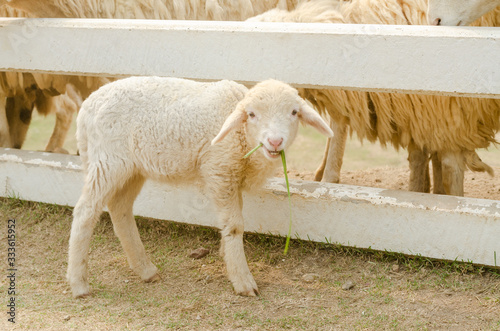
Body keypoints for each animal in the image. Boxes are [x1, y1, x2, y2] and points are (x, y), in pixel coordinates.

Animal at [66, 76, 332, 300]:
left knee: (120, 209)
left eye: (294, 112)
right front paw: (242, 279)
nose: (275, 141)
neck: (242, 136)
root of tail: (88, 105)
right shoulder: (219, 170)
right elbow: (235, 225)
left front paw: (226, 255)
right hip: (107, 162)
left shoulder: (232, 176)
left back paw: (145, 270)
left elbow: (232, 220)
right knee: (85, 212)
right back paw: (79, 284)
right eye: (252, 114)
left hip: (131, 168)